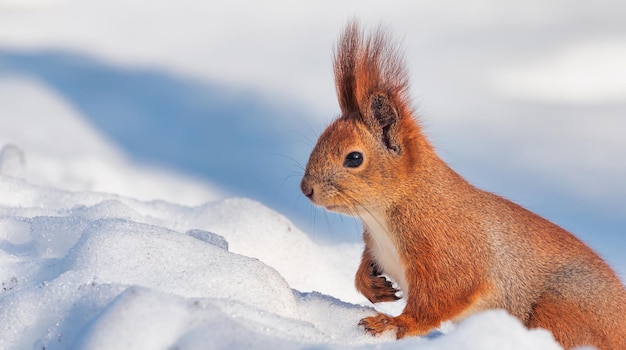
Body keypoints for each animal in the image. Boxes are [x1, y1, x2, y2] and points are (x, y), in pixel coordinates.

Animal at [298, 20, 624, 348]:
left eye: (354, 158)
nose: (305, 189)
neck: (383, 216)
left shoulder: (448, 249)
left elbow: (440, 299)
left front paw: (392, 323)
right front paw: (373, 286)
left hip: (562, 309)